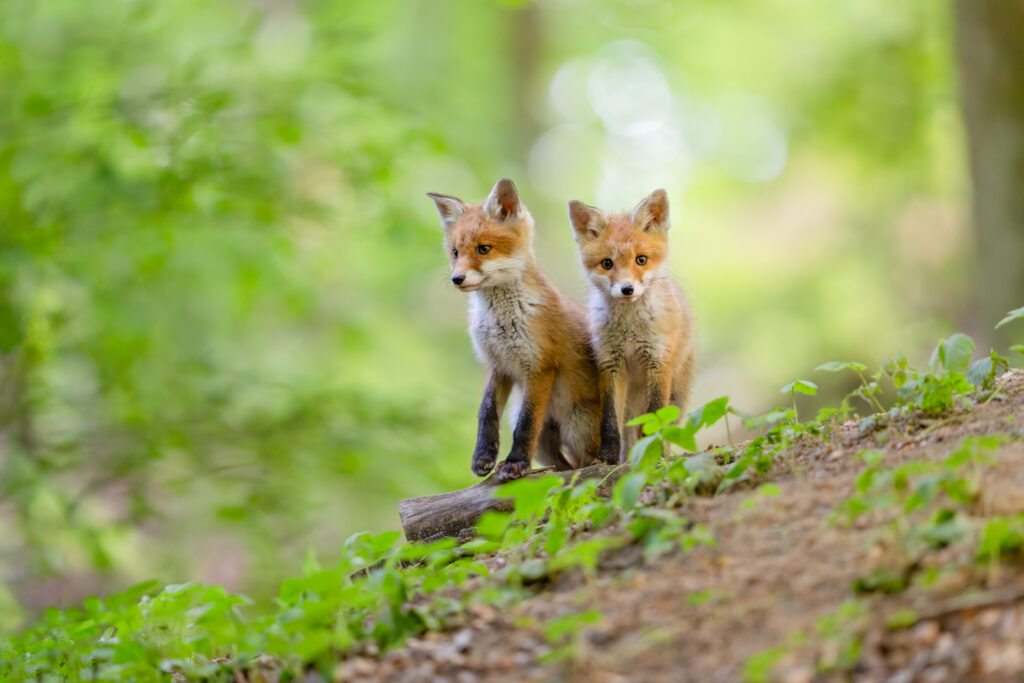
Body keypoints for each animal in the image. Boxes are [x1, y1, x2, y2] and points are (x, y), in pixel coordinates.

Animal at [427, 178, 605, 481]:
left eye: (483, 249)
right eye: (455, 252)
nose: (456, 278)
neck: (501, 321)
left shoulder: (540, 366)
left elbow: (527, 424)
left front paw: (515, 462)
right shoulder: (498, 364)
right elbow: (486, 412)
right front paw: (483, 457)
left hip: (578, 426)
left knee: (585, 465)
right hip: (545, 442)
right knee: (562, 466)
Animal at [567, 189, 697, 465]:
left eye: (641, 260)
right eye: (607, 264)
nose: (627, 289)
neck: (630, 331)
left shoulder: (658, 361)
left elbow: (655, 417)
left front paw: (653, 454)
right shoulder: (610, 364)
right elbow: (609, 421)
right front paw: (607, 458)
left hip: (676, 397)